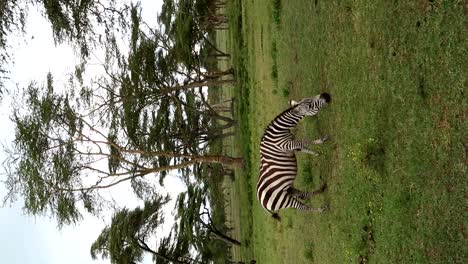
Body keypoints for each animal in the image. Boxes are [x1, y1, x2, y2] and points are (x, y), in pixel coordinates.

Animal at [258, 92, 330, 220]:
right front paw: (321, 140)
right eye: (310, 105)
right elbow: (304, 142)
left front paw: (316, 153)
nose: (325, 95)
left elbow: (304, 148)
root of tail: (261, 203)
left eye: (310, 97)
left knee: (302, 194)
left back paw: (320, 190)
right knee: (302, 207)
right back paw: (321, 209)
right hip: (283, 199)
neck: (279, 131)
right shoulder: (287, 145)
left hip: (287, 190)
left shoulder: (291, 145)